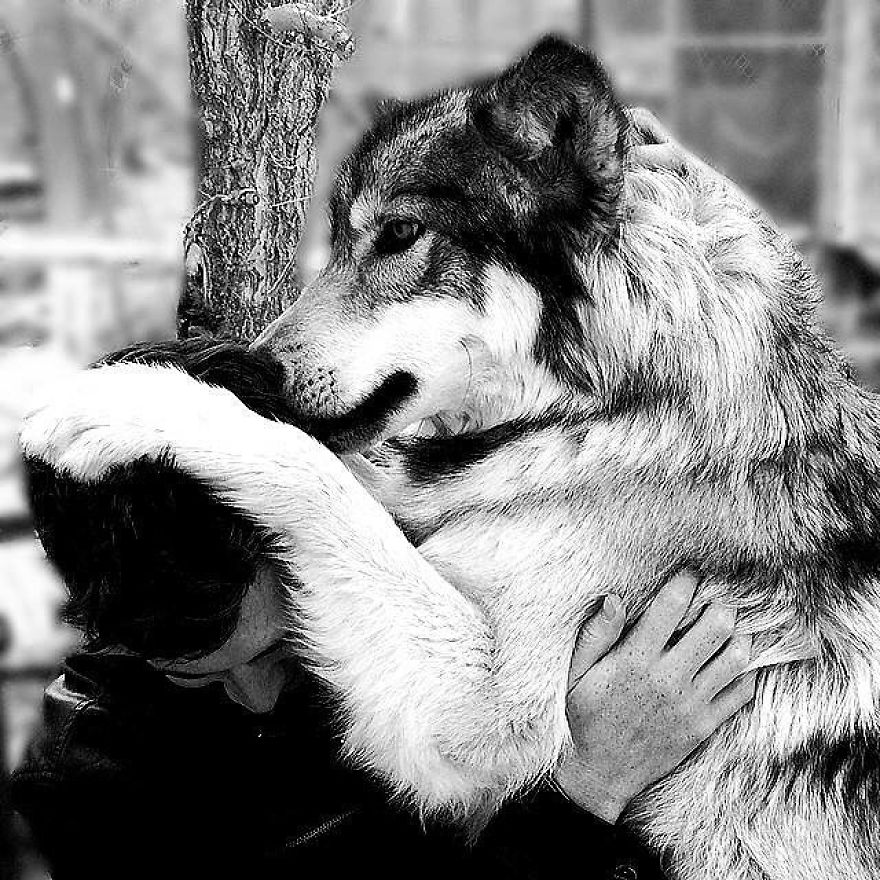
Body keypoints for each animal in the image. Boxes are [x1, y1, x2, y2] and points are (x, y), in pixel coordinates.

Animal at [20, 37, 880, 880]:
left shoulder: (490, 710)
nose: (257, 365)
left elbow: (311, 471)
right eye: (338, 244)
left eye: (400, 236)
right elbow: (341, 474)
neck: (611, 409)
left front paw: (125, 401)